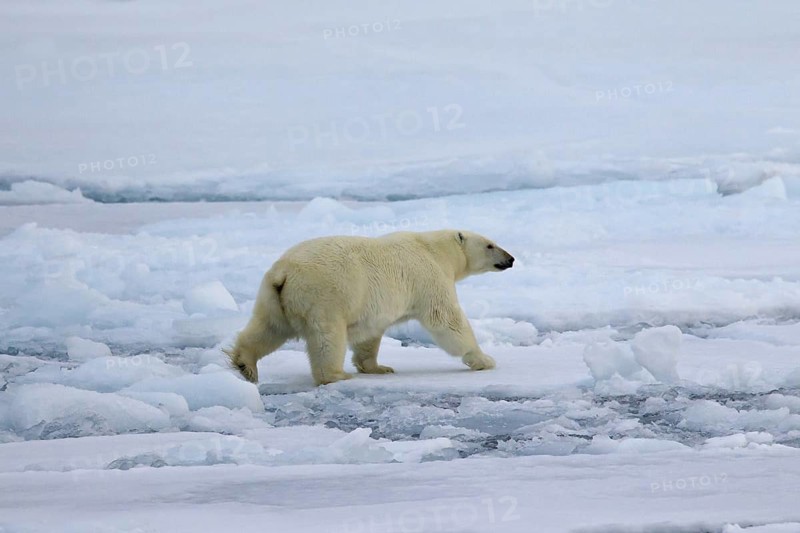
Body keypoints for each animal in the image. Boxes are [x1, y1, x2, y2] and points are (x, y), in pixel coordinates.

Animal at [225, 230, 514, 385]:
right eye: (490, 244)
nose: (510, 258)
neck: (435, 250)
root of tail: (284, 271)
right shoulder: (428, 277)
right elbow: (445, 318)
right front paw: (484, 359)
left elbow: (369, 334)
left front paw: (378, 367)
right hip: (325, 296)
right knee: (327, 337)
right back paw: (336, 375)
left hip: (274, 296)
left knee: (268, 328)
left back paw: (245, 364)